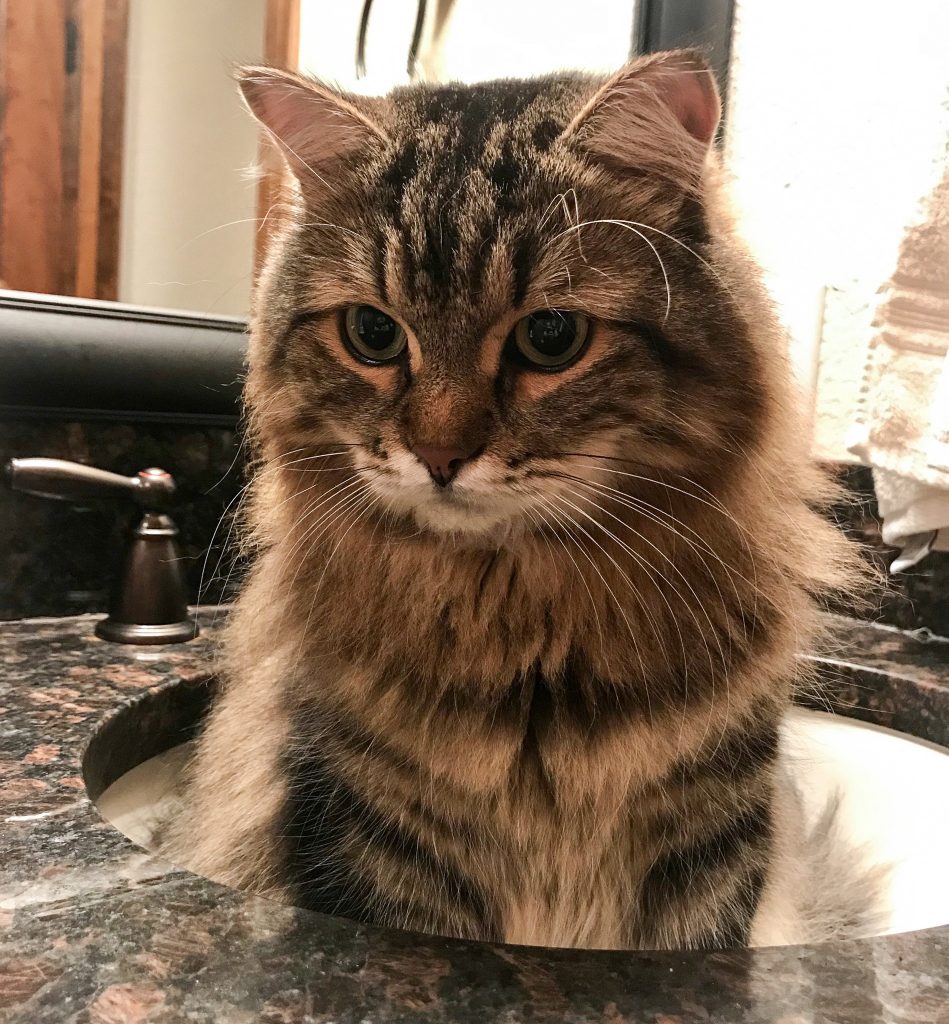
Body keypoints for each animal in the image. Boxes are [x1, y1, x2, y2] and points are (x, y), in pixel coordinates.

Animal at [159, 49, 880, 950]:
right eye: (372, 334)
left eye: (550, 339)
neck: (523, 630)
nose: (438, 456)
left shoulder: (709, 846)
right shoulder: (376, 842)